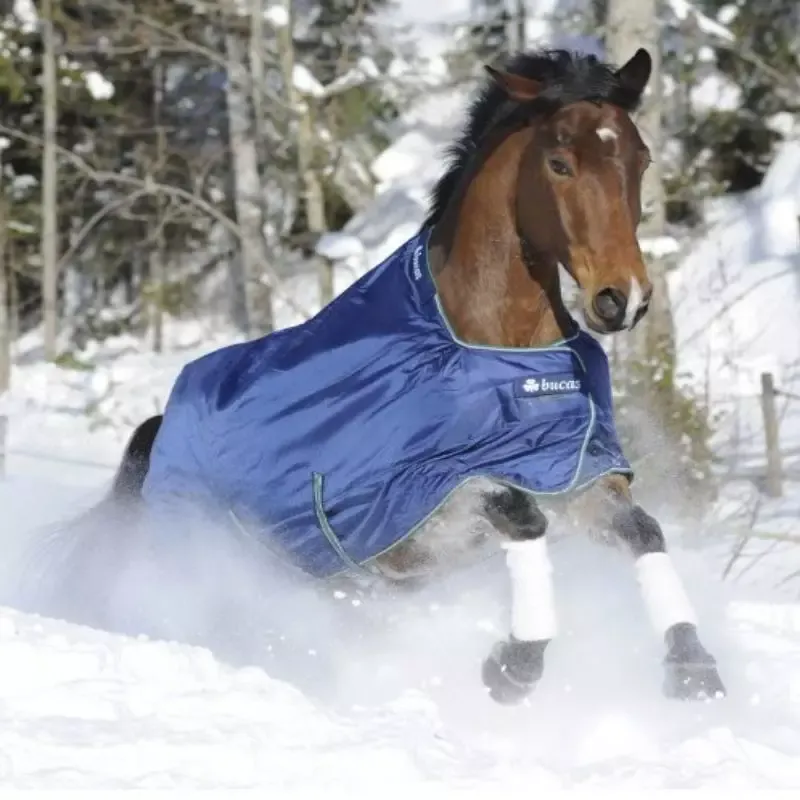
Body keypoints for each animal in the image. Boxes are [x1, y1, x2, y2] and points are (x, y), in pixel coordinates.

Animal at [22, 47, 725, 705]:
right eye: (560, 163)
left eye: (640, 159)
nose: (622, 298)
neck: (495, 355)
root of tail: (157, 432)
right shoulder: (419, 498)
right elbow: (520, 516)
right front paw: (515, 664)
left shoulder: (573, 469)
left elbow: (641, 530)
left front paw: (692, 665)